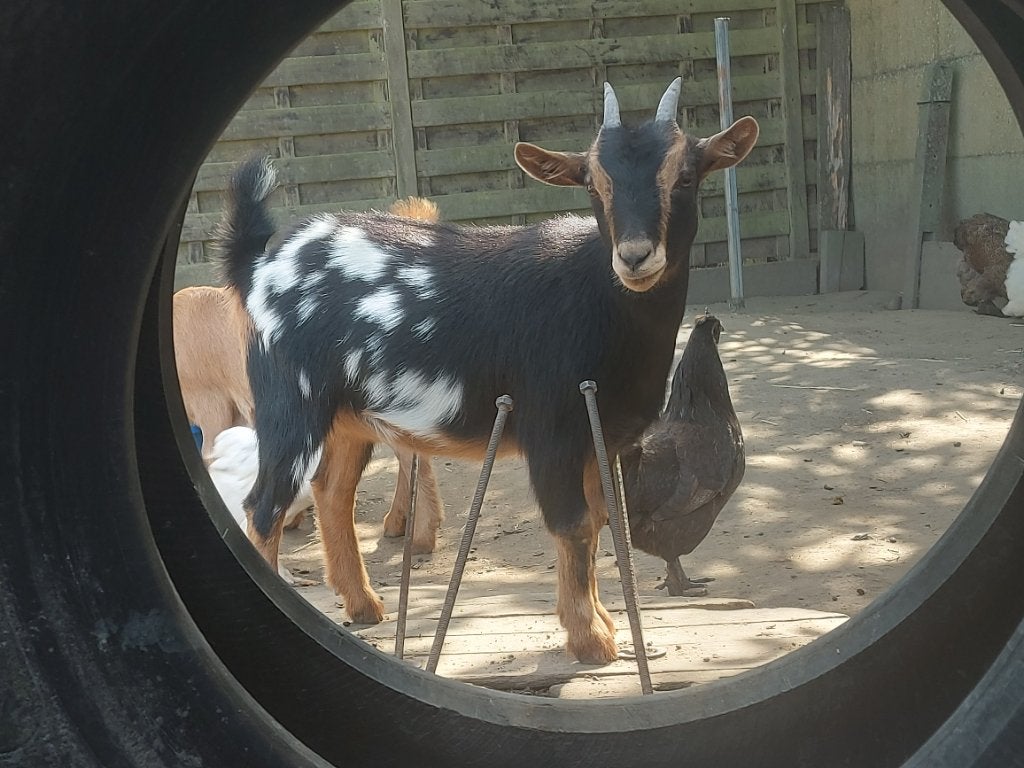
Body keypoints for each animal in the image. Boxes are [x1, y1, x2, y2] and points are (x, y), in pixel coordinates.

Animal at [216, 78, 759, 663]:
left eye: (686, 175)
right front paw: (590, 639)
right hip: (290, 405)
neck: (597, 298)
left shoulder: (601, 440)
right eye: (592, 182)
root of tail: (260, 266)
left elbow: (600, 520)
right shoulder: (552, 430)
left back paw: (364, 607)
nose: (635, 257)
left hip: (349, 417)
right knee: (265, 506)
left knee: (332, 492)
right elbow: (574, 525)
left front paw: (602, 623)